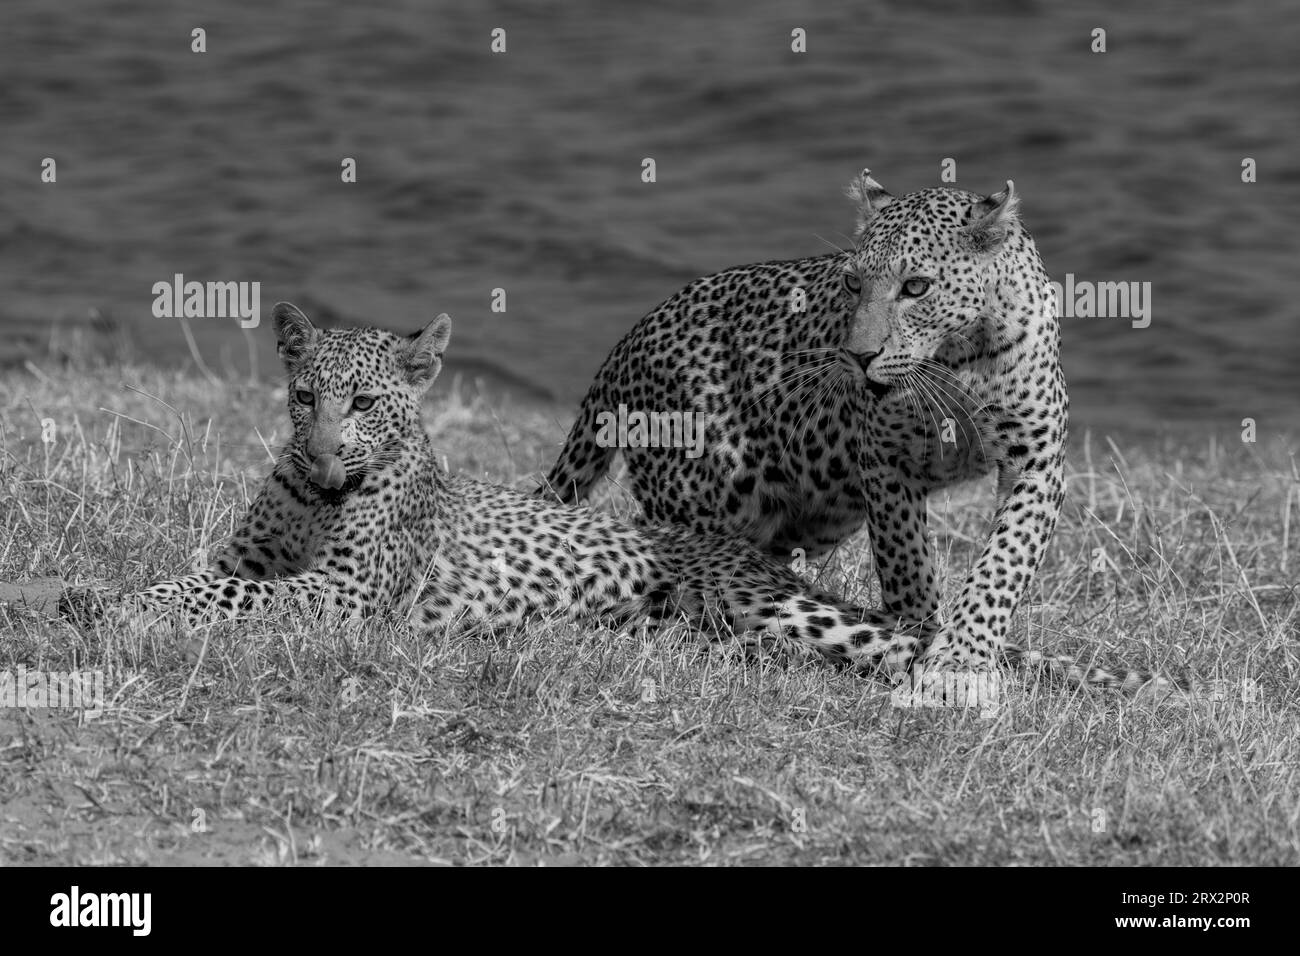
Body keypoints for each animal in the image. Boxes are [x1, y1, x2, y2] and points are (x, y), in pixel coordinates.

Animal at [56, 302, 1169, 693]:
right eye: (304, 398)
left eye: (363, 402)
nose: (323, 450)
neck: (323, 490)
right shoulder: (253, 554)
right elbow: (212, 578)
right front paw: (95, 595)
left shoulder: (339, 595)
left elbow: (224, 598)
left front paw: (123, 606)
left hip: (773, 599)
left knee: (897, 641)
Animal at [542, 170, 1175, 686]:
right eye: (852, 284)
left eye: (916, 286)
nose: (858, 357)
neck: (960, 358)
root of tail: (628, 339)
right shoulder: (885, 460)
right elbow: (907, 561)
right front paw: (920, 638)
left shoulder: (1036, 461)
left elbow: (1004, 561)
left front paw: (962, 659)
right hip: (708, 503)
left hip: (809, 515)